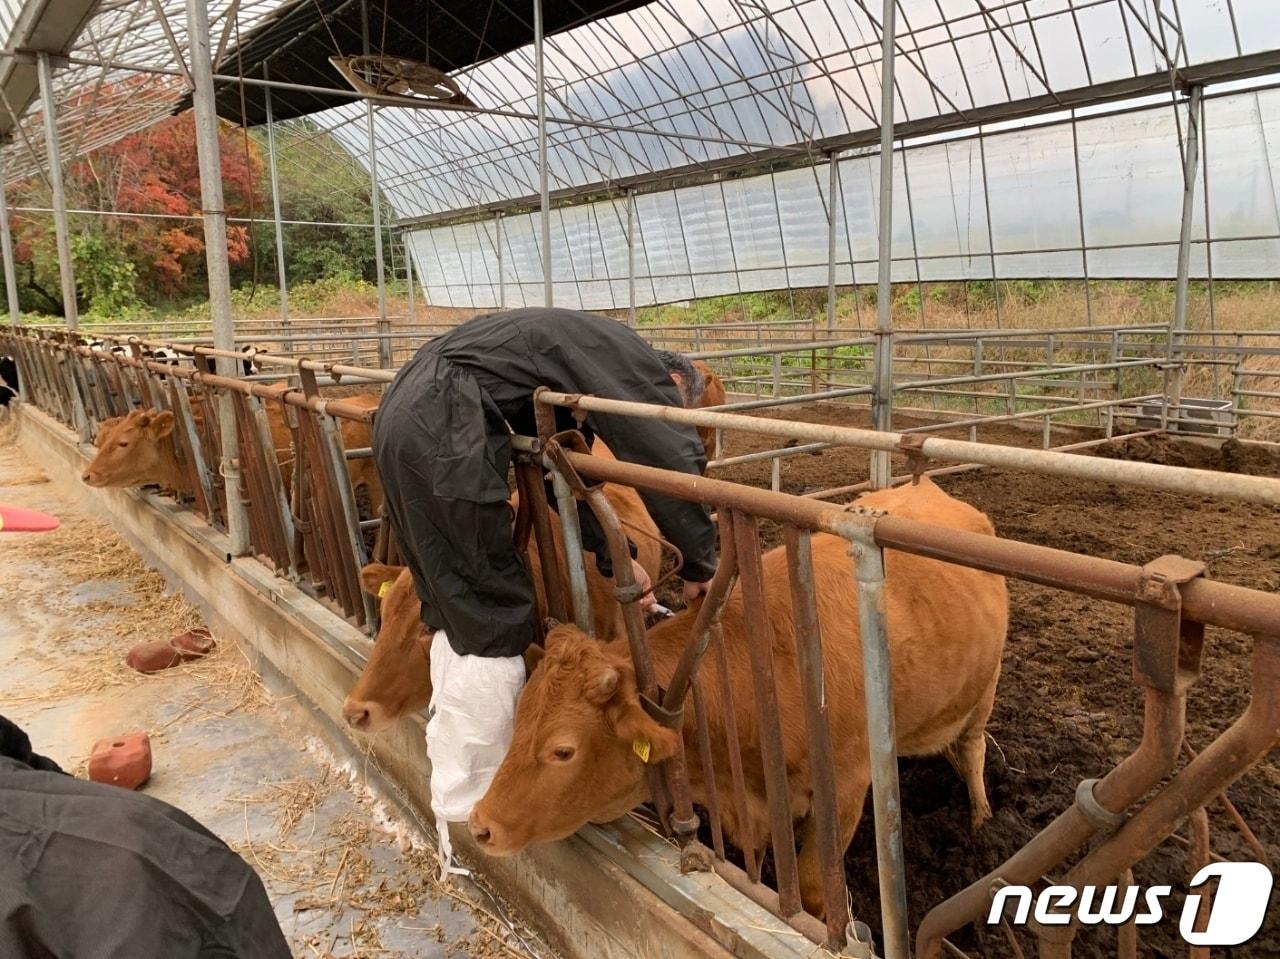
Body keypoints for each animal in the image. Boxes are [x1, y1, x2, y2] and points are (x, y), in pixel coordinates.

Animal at [468, 478, 1008, 911]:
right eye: (519, 718)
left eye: (563, 751)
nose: (479, 825)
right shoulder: (748, 806)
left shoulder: (847, 789)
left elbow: (814, 887)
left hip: (985, 686)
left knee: (972, 745)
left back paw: (982, 819)